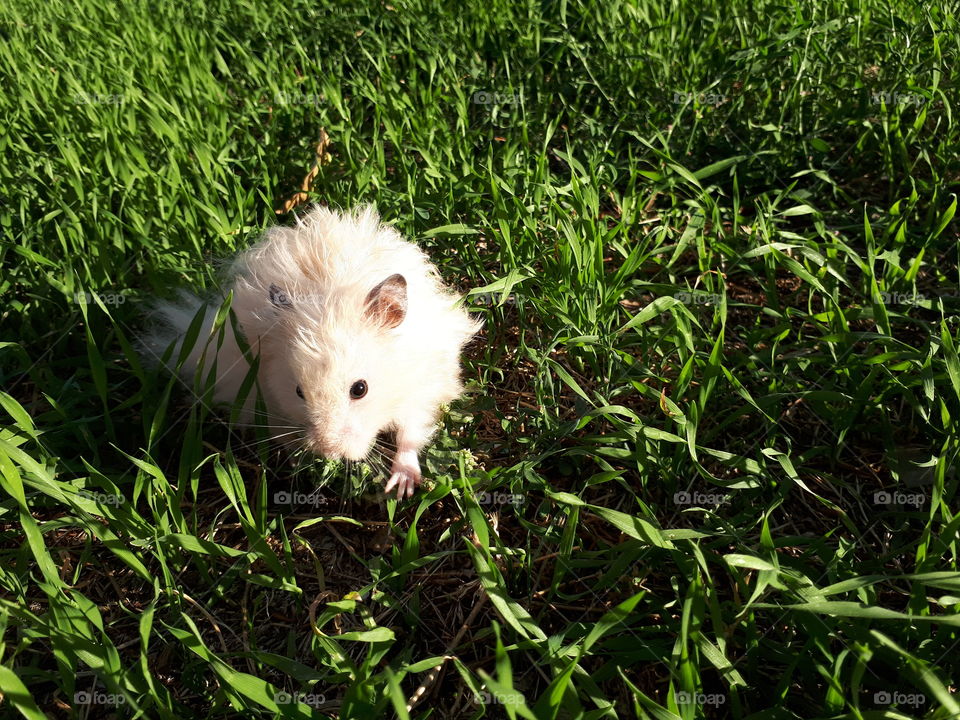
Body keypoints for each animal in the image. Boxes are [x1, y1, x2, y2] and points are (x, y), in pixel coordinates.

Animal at [140, 205, 481, 499]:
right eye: (299, 392)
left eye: (360, 389)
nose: (328, 450)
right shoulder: (267, 394)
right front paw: (298, 459)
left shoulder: (424, 386)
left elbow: (411, 433)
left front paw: (401, 487)